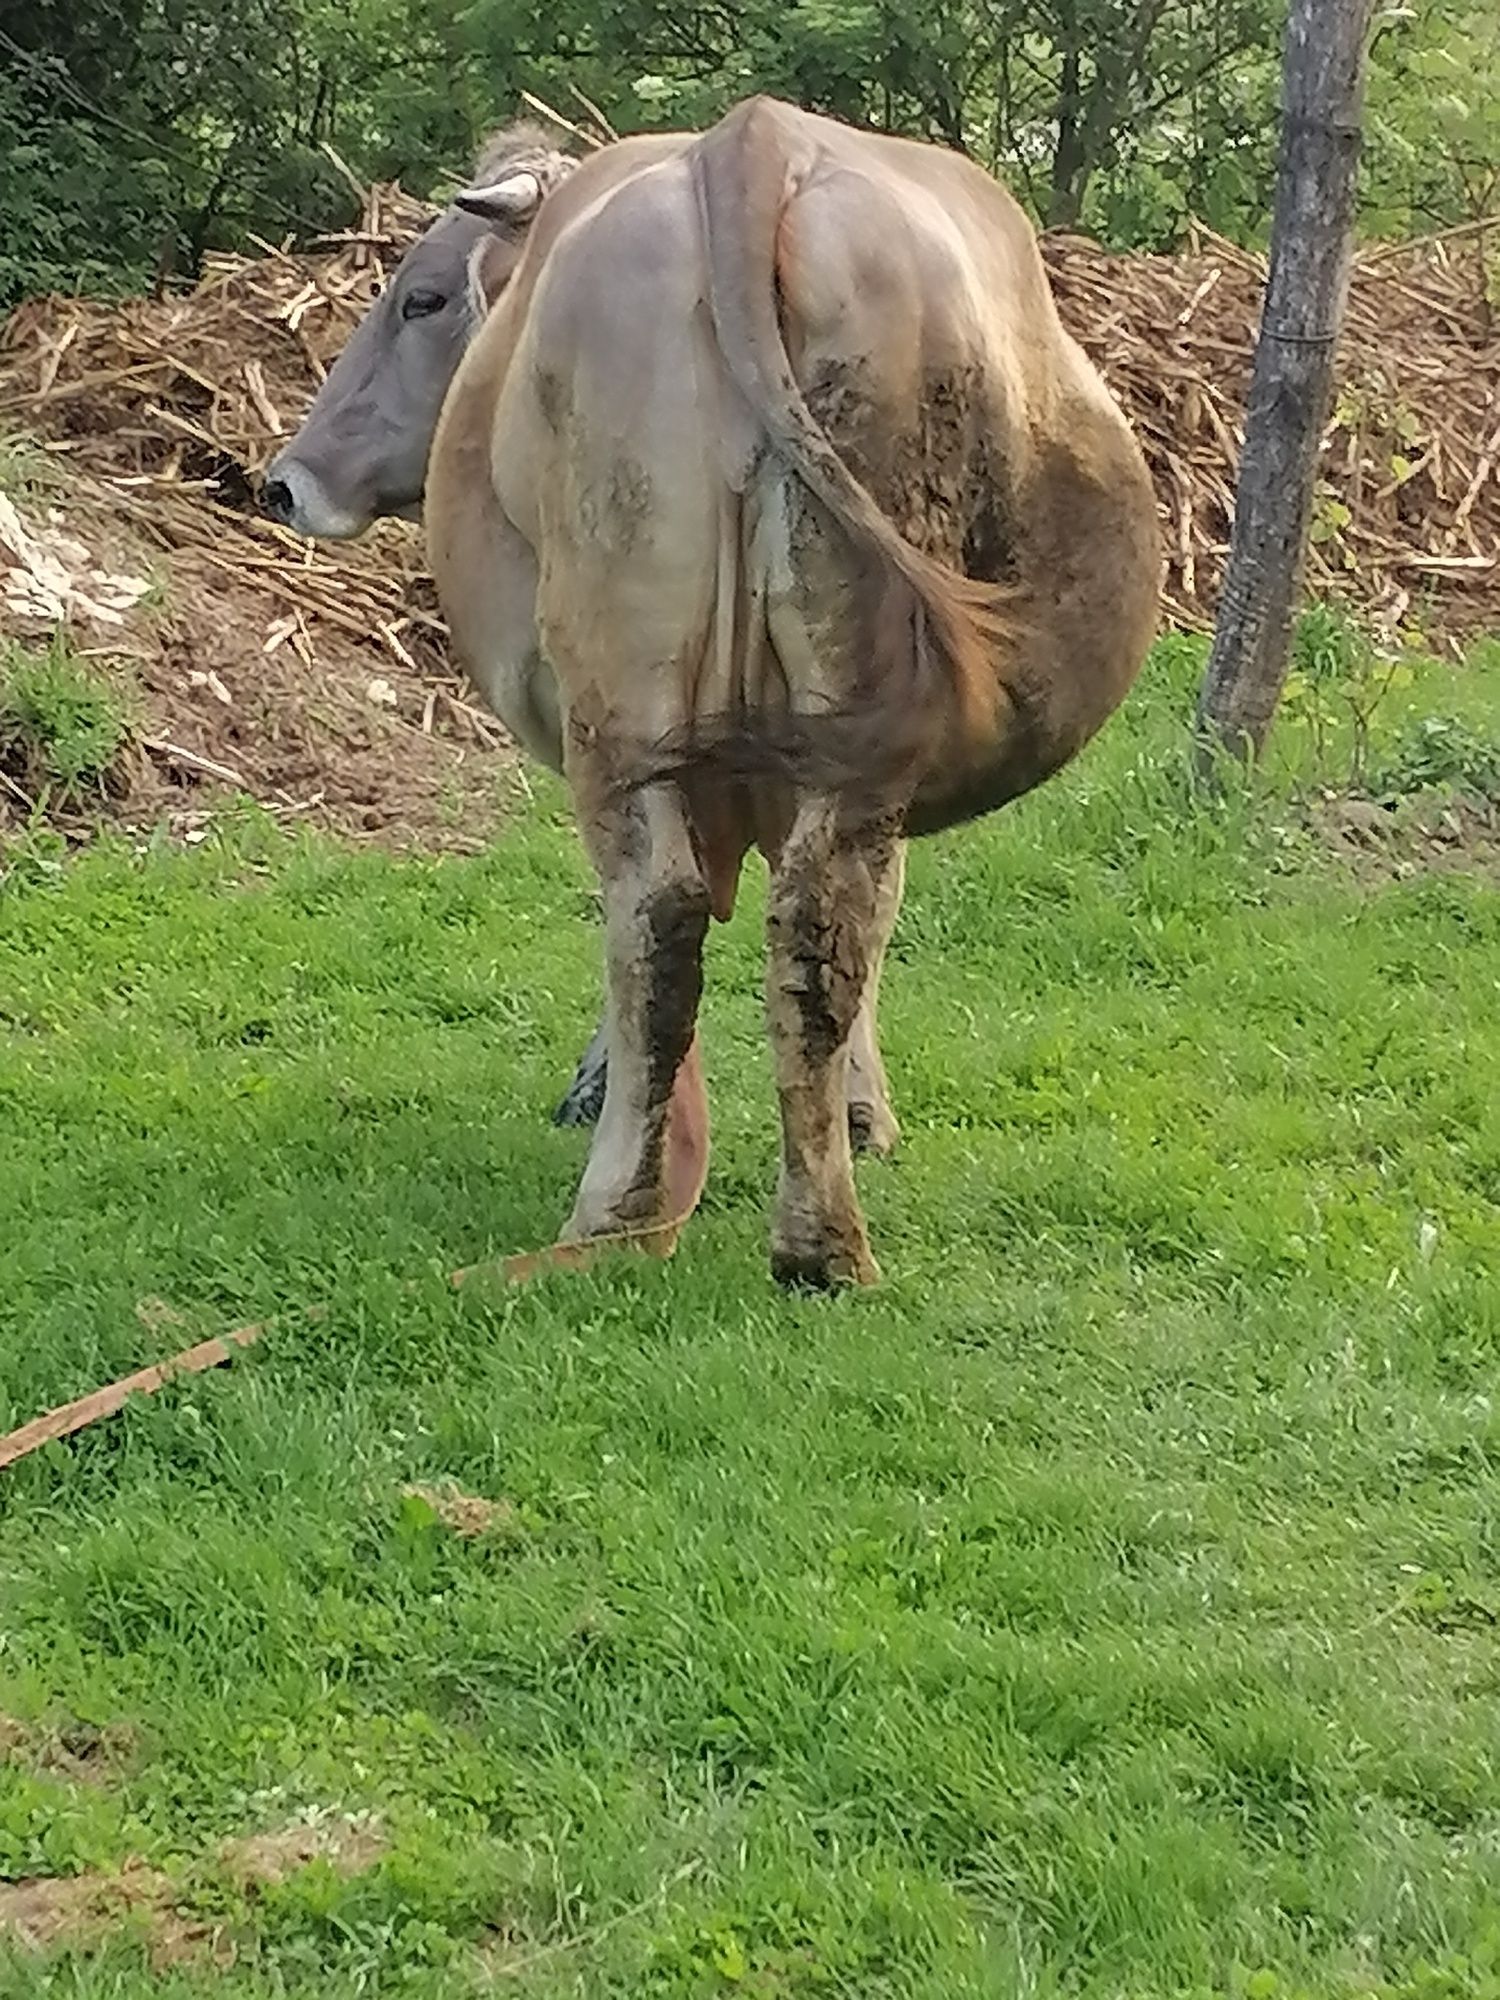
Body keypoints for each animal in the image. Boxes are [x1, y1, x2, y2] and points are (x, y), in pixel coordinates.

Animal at [424, 97, 1160, 1280]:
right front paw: (864, 1115)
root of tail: (751, 140)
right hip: (850, 685)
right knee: (815, 914)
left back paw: (629, 1217)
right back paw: (814, 1245)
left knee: (662, 913)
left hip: (626, 669)